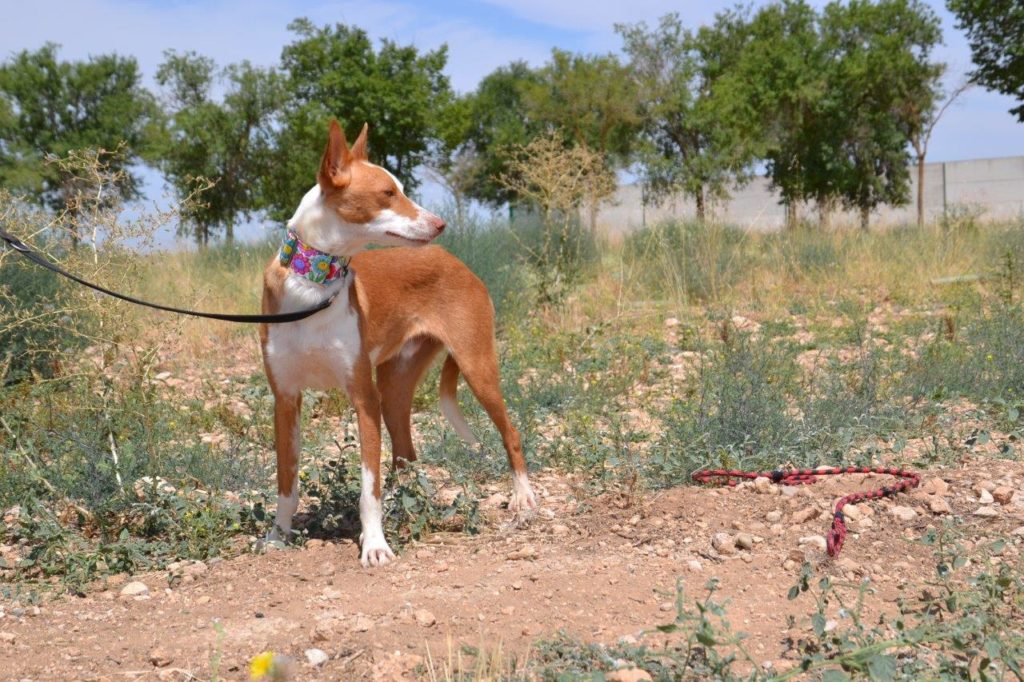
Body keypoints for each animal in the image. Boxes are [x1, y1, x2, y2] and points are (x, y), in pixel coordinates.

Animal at [260, 119, 540, 565]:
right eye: (388, 193)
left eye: (401, 189)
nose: (440, 223)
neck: (313, 283)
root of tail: (455, 260)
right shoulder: (285, 399)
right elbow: (286, 481)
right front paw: (277, 535)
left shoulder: (362, 396)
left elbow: (367, 488)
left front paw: (374, 543)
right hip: (393, 389)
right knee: (406, 456)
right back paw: (405, 503)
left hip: (475, 366)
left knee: (510, 433)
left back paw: (524, 498)